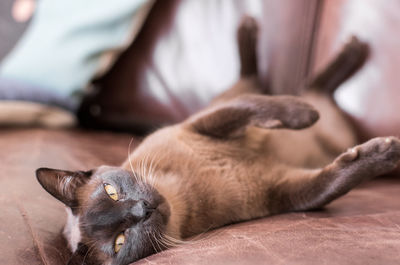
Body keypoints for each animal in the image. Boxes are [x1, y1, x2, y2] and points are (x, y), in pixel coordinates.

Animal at [35, 17, 400, 264]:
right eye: (120, 242)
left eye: (112, 191)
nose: (141, 209)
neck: (182, 191)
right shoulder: (284, 194)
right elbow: (333, 182)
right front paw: (387, 153)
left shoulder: (206, 122)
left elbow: (256, 106)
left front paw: (302, 116)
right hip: (335, 133)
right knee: (314, 91)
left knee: (276, 85)